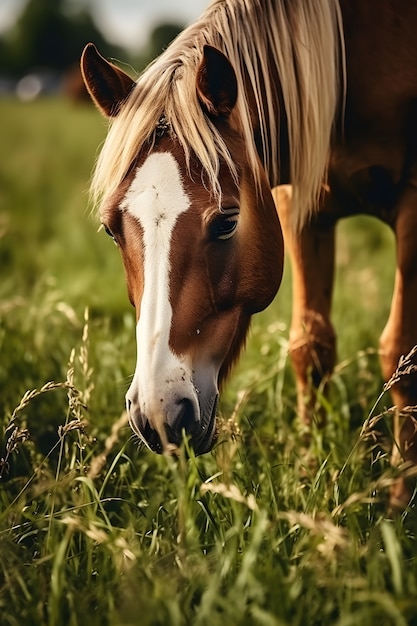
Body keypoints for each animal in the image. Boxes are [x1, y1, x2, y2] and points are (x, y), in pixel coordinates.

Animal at [80, 0, 416, 504]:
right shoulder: (302, 206)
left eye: (226, 222)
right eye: (110, 229)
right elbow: (310, 347)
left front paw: (400, 495)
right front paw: (308, 470)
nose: (159, 412)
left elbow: (400, 353)